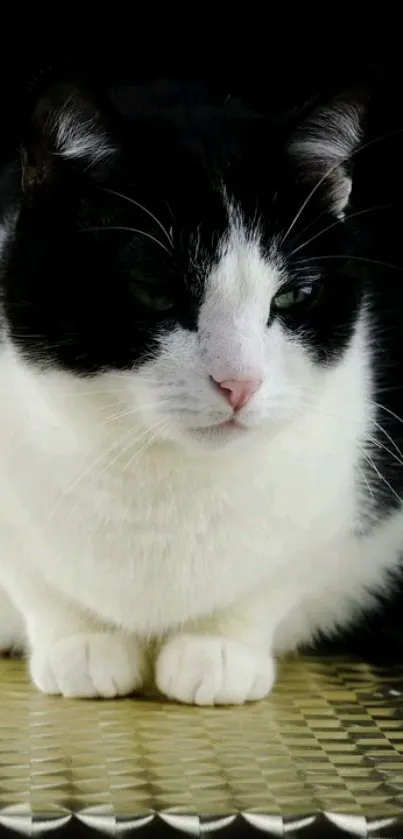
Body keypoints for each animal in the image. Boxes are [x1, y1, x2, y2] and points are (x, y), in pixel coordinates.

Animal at [0, 72, 403, 704]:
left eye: (293, 296)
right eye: (155, 291)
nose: (240, 383)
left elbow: (279, 576)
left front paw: (217, 648)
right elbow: (33, 576)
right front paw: (81, 643)